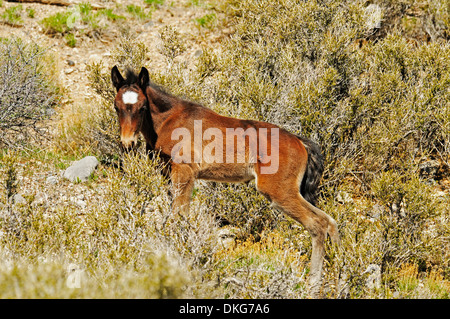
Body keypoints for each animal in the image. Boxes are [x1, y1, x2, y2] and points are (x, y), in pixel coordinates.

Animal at [110, 65, 340, 298]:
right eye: (116, 106)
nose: (127, 143)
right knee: (330, 221)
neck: (168, 121)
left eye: (142, 107)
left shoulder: (184, 172)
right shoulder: (167, 174)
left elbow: (179, 216)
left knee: (318, 224)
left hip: (280, 193)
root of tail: (300, 142)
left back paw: (314, 285)